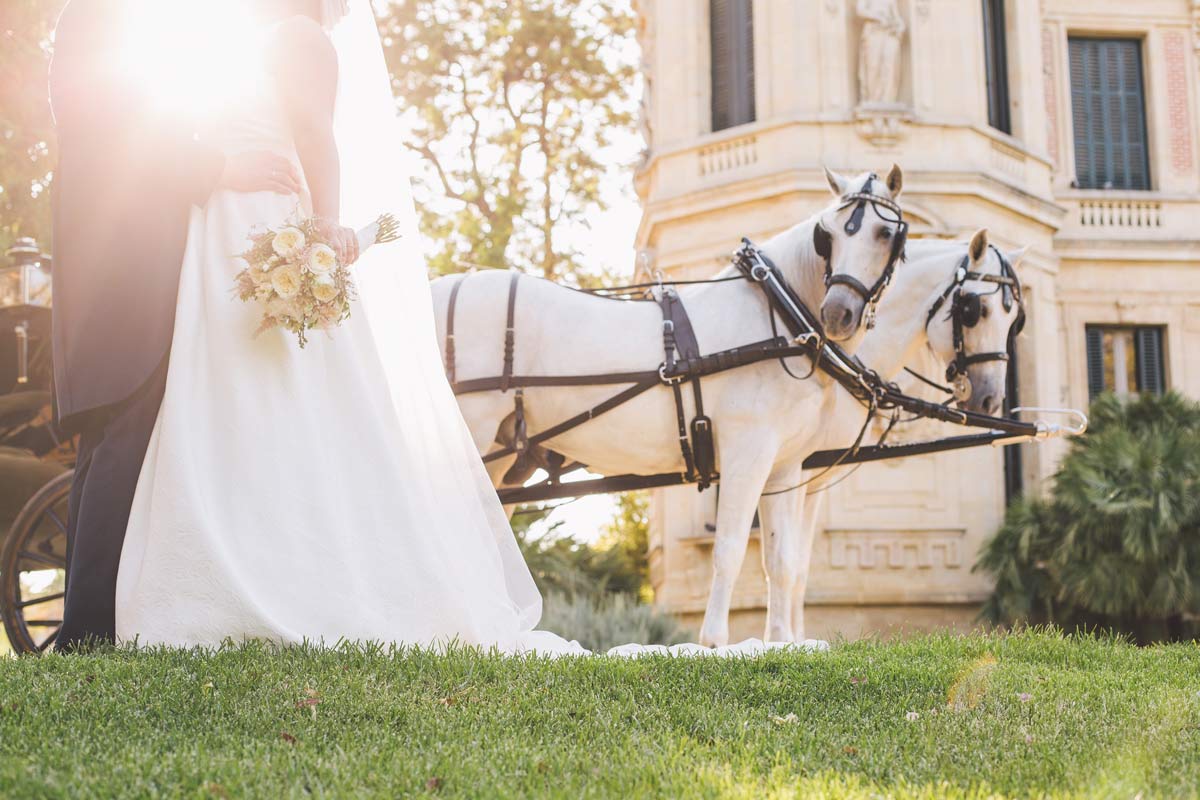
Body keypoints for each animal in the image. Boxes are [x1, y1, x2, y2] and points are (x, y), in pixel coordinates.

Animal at [432, 167, 907, 642]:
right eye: (828, 233)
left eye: (885, 233)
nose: (837, 314)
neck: (778, 316)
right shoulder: (747, 453)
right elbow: (730, 549)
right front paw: (714, 641)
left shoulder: (784, 467)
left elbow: (782, 562)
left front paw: (781, 642)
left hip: (501, 457)